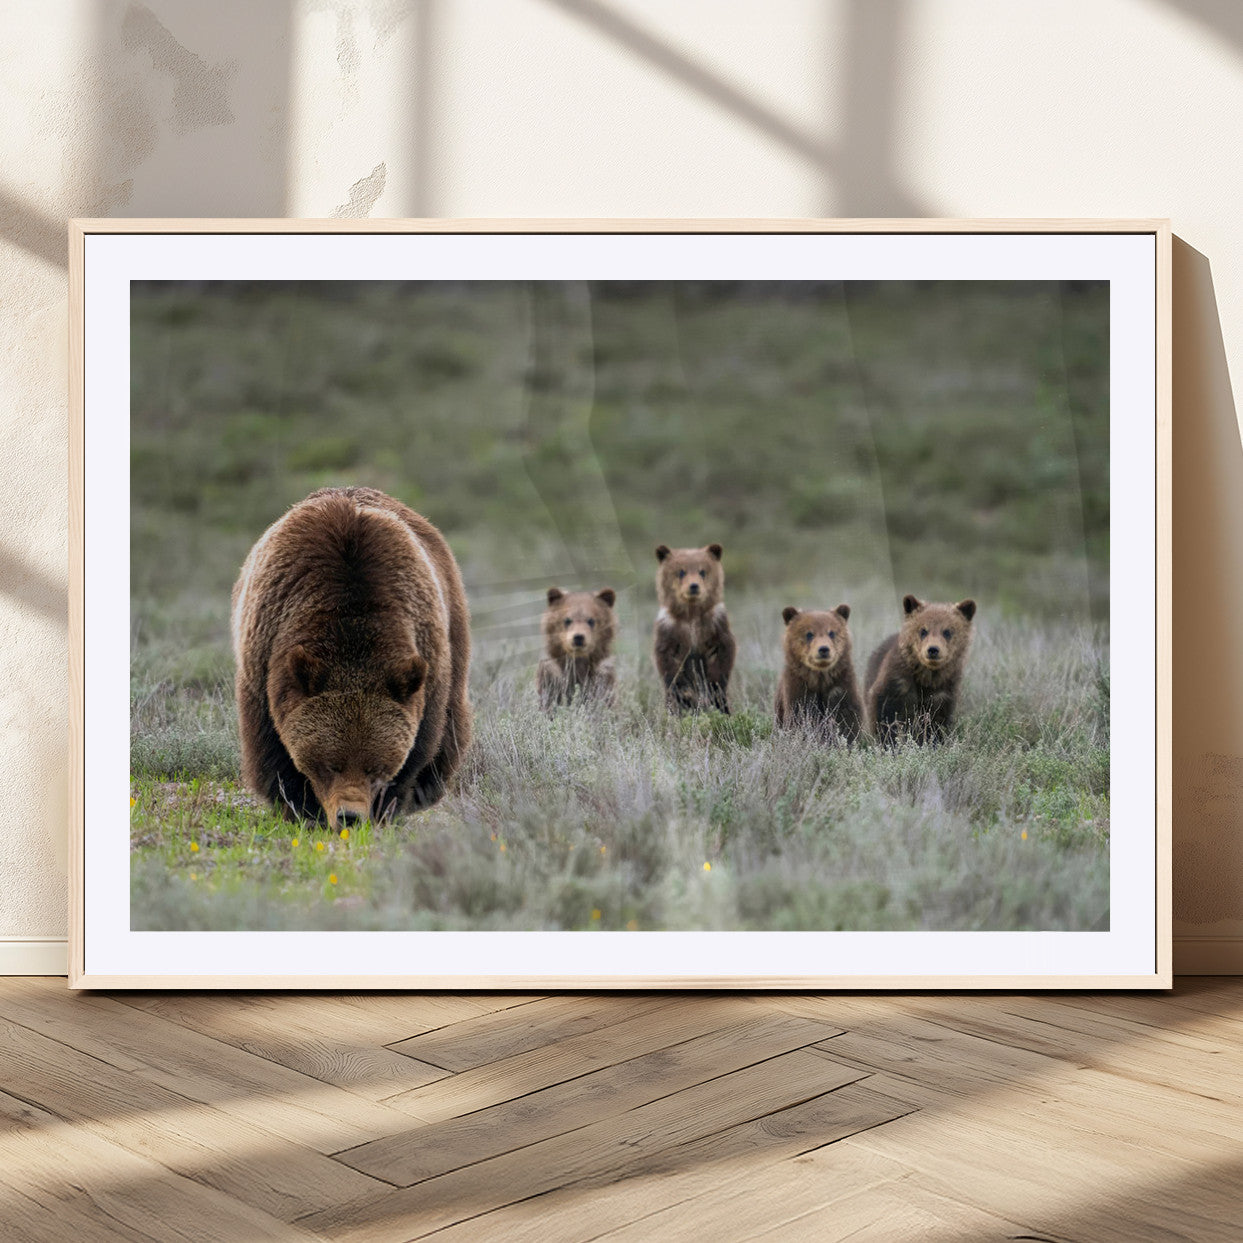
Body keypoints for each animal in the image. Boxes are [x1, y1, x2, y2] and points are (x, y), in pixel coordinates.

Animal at [231, 486, 472, 828]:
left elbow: (420, 746)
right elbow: (272, 749)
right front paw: (301, 808)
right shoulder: (265, 659)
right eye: (330, 764)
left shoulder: (426, 663)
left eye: (375, 766)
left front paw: (387, 808)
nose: (350, 816)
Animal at [652, 543, 736, 713]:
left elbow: (722, 657)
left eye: (702, 571)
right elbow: (669, 664)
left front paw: (713, 690)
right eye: (681, 571)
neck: (691, 616)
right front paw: (685, 695)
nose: (694, 586)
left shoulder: (715, 625)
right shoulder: (670, 630)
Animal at [774, 604, 864, 742]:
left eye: (831, 632)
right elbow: (799, 718)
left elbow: (847, 720)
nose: (824, 649)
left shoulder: (841, 686)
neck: (820, 678)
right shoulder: (798, 689)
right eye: (809, 634)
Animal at [865, 595, 977, 744]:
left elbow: (937, 722)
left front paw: (932, 741)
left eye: (947, 631)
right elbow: (884, 712)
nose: (933, 649)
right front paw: (889, 741)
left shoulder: (943, 691)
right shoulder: (897, 682)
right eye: (923, 630)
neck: (927, 678)